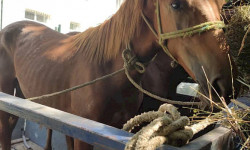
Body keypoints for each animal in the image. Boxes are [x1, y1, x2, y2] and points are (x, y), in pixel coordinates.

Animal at [0, 0, 238, 150]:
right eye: (175, 4)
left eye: (220, 5)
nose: (224, 83)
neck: (107, 71)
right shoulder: (85, 135)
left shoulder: (116, 130)